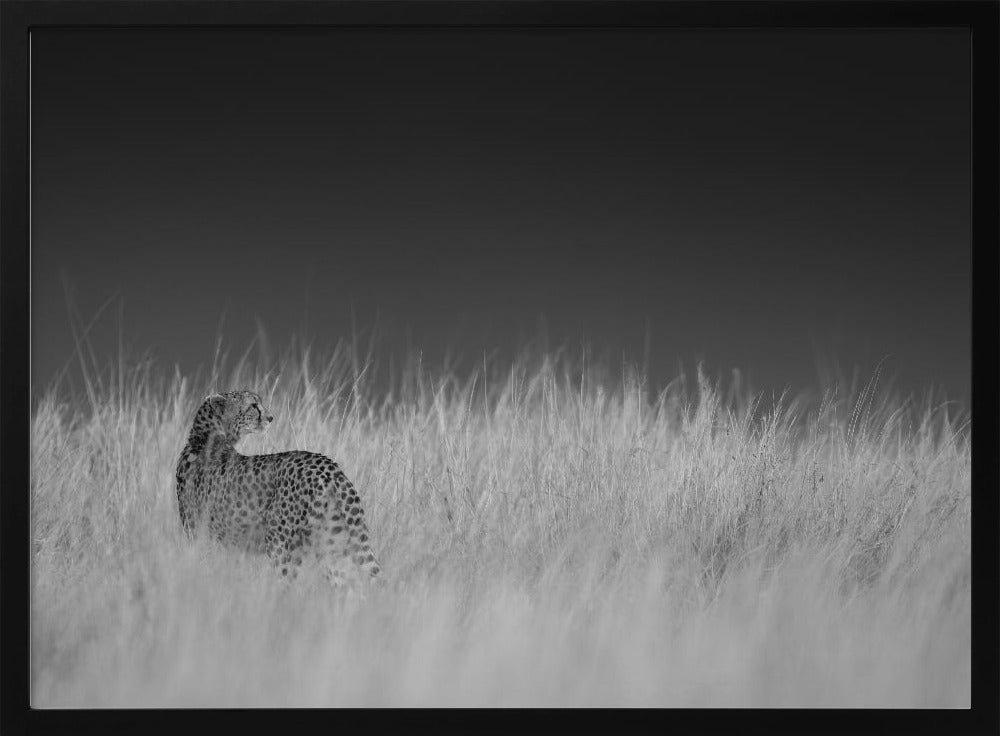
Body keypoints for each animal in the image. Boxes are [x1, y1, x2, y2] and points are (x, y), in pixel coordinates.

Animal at [175, 389, 381, 586]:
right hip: (332, 543)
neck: (204, 437)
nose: (270, 417)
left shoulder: (200, 536)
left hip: (282, 545)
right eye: (253, 405)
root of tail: (328, 466)